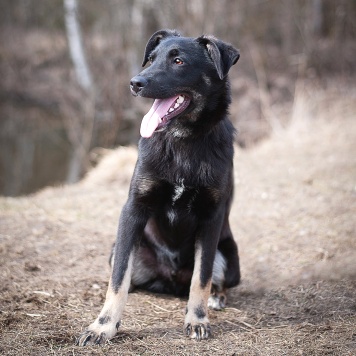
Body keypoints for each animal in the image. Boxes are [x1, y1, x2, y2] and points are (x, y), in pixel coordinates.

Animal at [76, 29, 241, 346]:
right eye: (151, 59)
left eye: (178, 61)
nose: (135, 83)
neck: (182, 140)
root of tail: (170, 279)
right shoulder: (134, 209)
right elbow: (118, 278)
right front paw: (103, 325)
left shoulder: (211, 217)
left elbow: (201, 277)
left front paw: (197, 319)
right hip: (126, 249)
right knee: (126, 273)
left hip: (229, 258)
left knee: (214, 279)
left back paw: (216, 298)